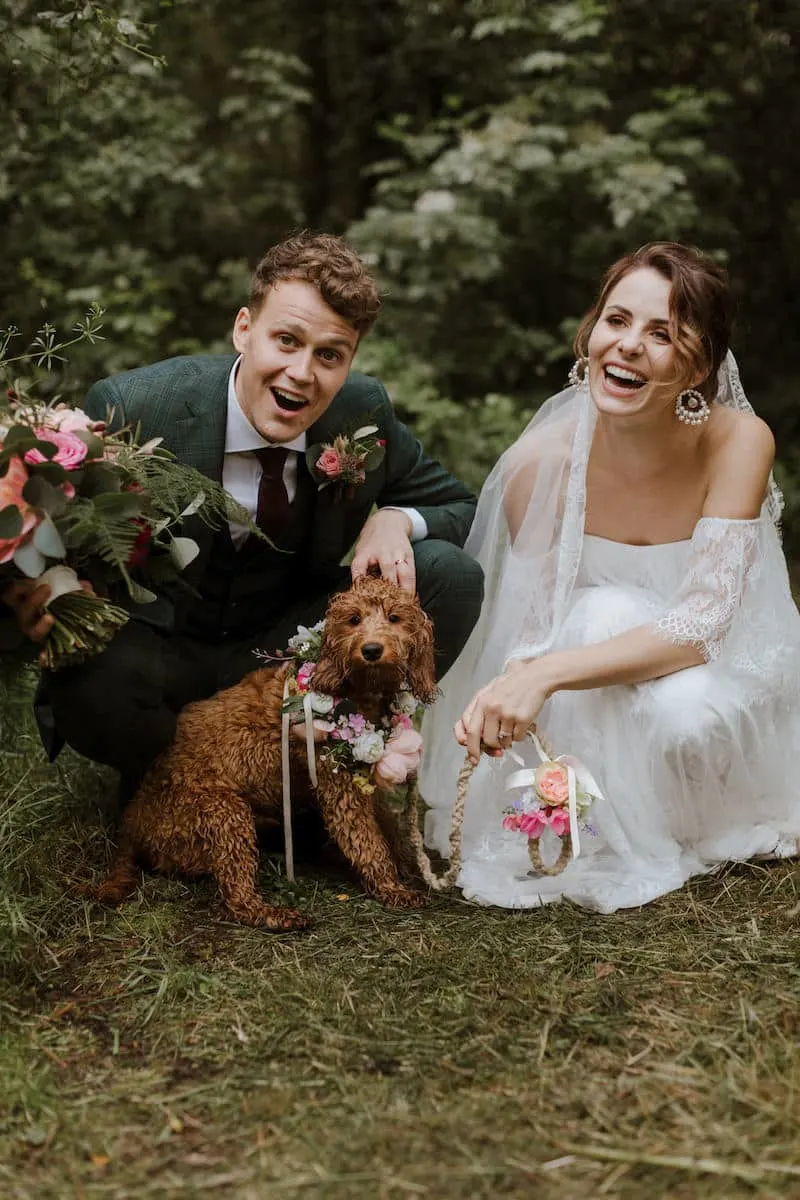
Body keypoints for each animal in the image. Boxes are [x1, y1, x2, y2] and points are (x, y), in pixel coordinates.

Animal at [82, 576, 438, 931]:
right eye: (354, 619)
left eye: (394, 618)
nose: (371, 650)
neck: (354, 685)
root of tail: (132, 822)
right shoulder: (340, 788)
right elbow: (367, 842)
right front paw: (392, 887)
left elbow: (388, 824)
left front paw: (407, 864)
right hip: (223, 812)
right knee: (236, 900)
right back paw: (274, 914)